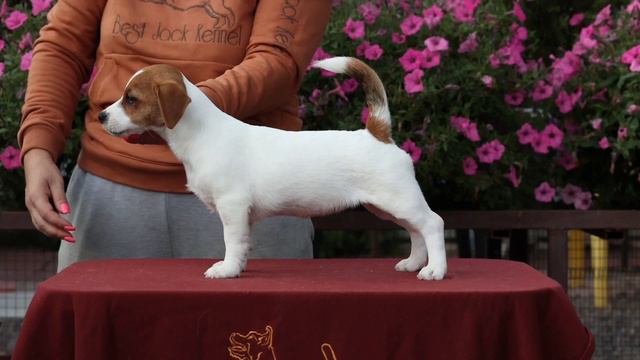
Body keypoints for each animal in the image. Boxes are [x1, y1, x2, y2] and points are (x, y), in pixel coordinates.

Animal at [101, 57, 450, 282]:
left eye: (131, 99)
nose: (101, 116)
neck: (201, 133)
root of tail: (378, 132)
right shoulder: (241, 213)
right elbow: (243, 244)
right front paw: (238, 267)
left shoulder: (232, 205)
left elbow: (231, 241)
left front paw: (226, 270)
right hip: (386, 206)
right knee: (415, 230)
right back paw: (414, 263)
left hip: (398, 198)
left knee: (432, 224)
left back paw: (435, 270)